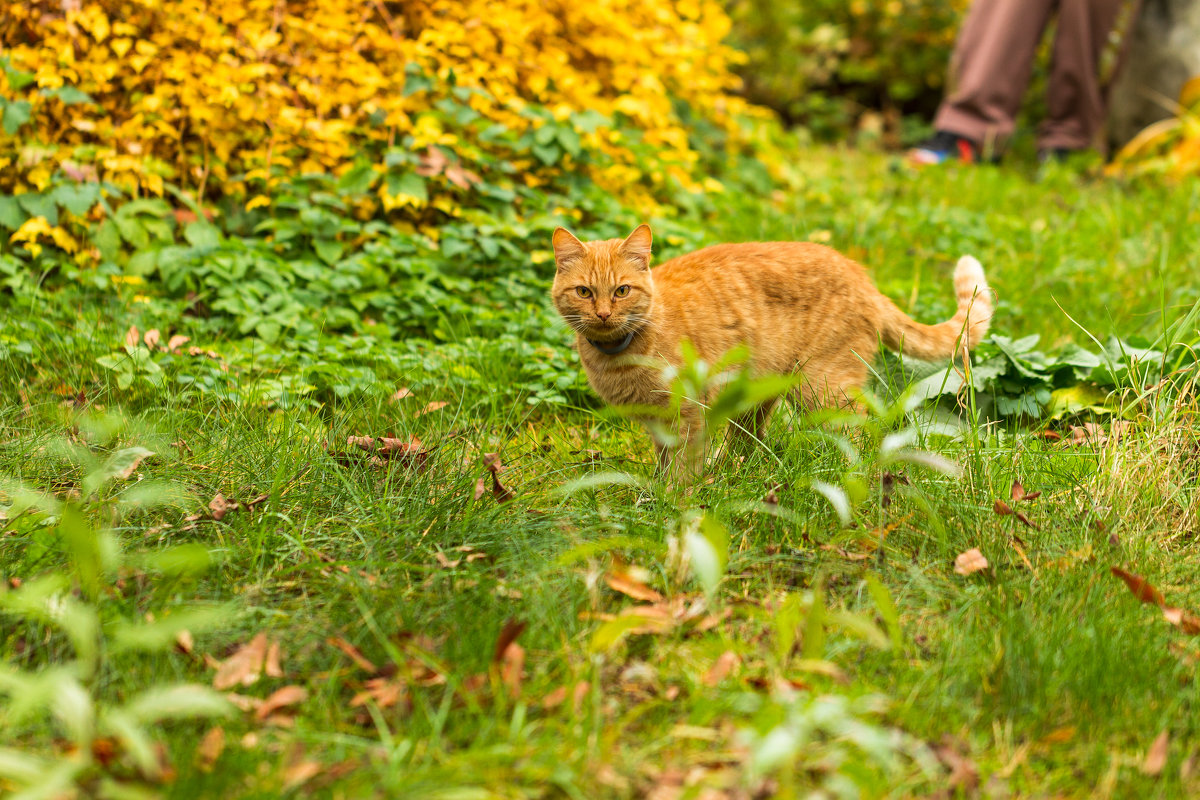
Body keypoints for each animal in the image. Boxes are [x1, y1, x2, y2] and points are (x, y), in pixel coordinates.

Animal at [552, 221, 993, 472]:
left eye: (622, 291)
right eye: (584, 292)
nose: (603, 314)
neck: (619, 355)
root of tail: (862, 277)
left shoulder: (687, 414)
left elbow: (682, 470)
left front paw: (676, 505)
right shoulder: (658, 423)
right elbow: (663, 465)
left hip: (823, 387)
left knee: (862, 431)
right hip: (756, 393)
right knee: (751, 441)